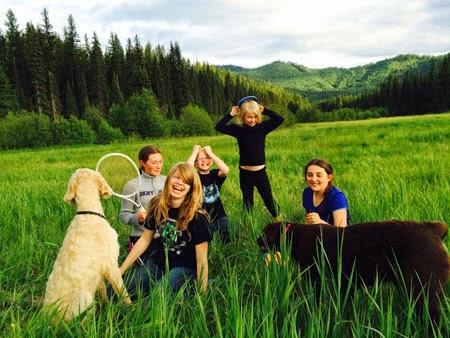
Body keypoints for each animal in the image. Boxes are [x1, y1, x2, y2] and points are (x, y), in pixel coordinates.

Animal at [43, 169, 131, 322]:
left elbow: (103, 292)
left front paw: (106, 305)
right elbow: (123, 291)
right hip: (86, 302)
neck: (88, 212)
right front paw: (133, 308)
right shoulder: (111, 265)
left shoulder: (99, 272)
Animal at [258, 220, 450, 320]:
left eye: (265, 231)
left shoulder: (316, 280)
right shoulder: (345, 284)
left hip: (424, 293)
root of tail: (434, 229)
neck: (295, 235)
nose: (256, 239)